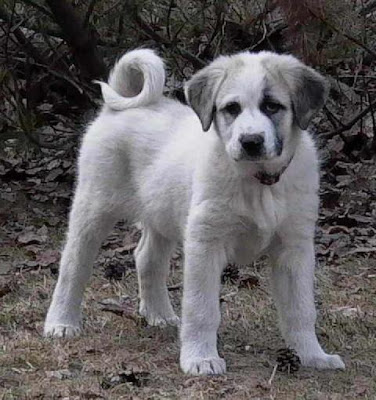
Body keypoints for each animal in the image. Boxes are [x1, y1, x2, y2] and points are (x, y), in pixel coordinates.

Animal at [44, 49, 344, 376]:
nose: (250, 142)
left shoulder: (294, 249)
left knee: (147, 258)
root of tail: (119, 106)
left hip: (160, 211)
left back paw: (159, 315)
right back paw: (61, 322)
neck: (257, 181)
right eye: (231, 109)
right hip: (94, 205)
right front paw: (200, 359)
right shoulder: (205, 243)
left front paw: (313, 355)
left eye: (272, 106)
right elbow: (202, 309)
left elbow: (301, 309)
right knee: (73, 265)